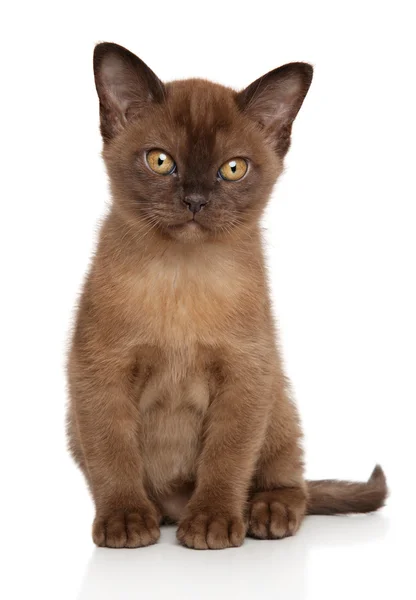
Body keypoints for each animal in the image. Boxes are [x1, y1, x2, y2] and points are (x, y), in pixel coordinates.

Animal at [66, 41, 388, 548]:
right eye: (160, 160)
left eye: (232, 169)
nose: (196, 200)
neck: (182, 278)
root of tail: (174, 503)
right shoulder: (101, 374)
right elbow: (114, 456)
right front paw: (125, 522)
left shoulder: (244, 375)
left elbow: (226, 456)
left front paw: (213, 522)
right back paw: (157, 515)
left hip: (277, 400)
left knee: (292, 481)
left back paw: (265, 513)